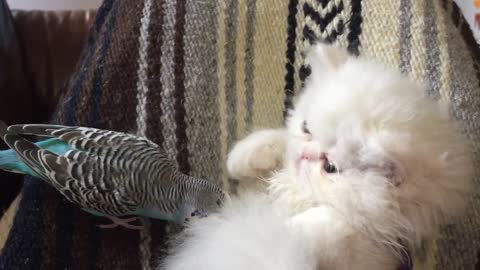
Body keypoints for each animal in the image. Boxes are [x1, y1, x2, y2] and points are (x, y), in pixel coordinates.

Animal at [160, 43, 472, 268]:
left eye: (330, 167)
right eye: (306, 129)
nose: (305, 155)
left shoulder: (367, 243)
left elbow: (313, 226)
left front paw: (267, 230)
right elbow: (277, 141)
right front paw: (241, 157)